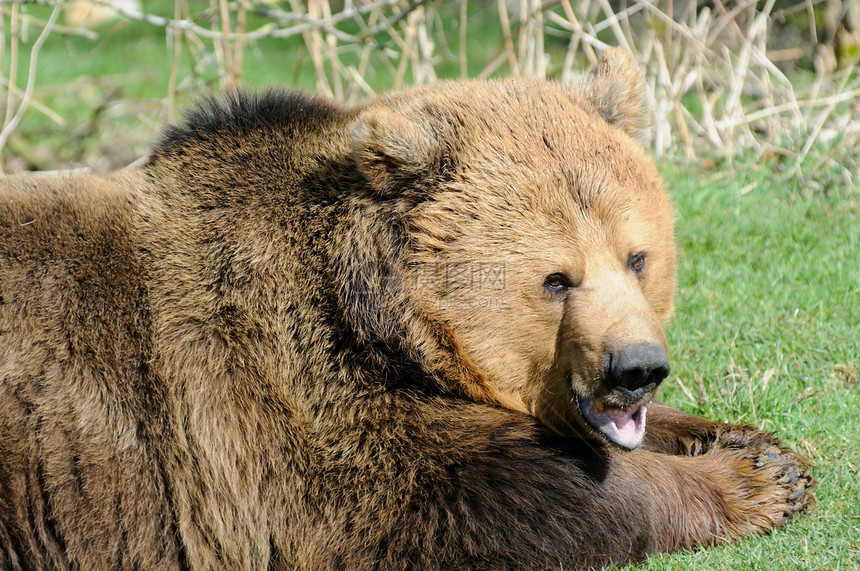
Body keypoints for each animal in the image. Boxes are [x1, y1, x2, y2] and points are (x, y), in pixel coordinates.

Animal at [0, 50, 812, 571]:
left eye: (637, 257)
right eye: (557, 279)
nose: (636, 367)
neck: (377, 326)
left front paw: (763, 450)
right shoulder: (270, 405)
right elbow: (506, 490)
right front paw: (747, 484)